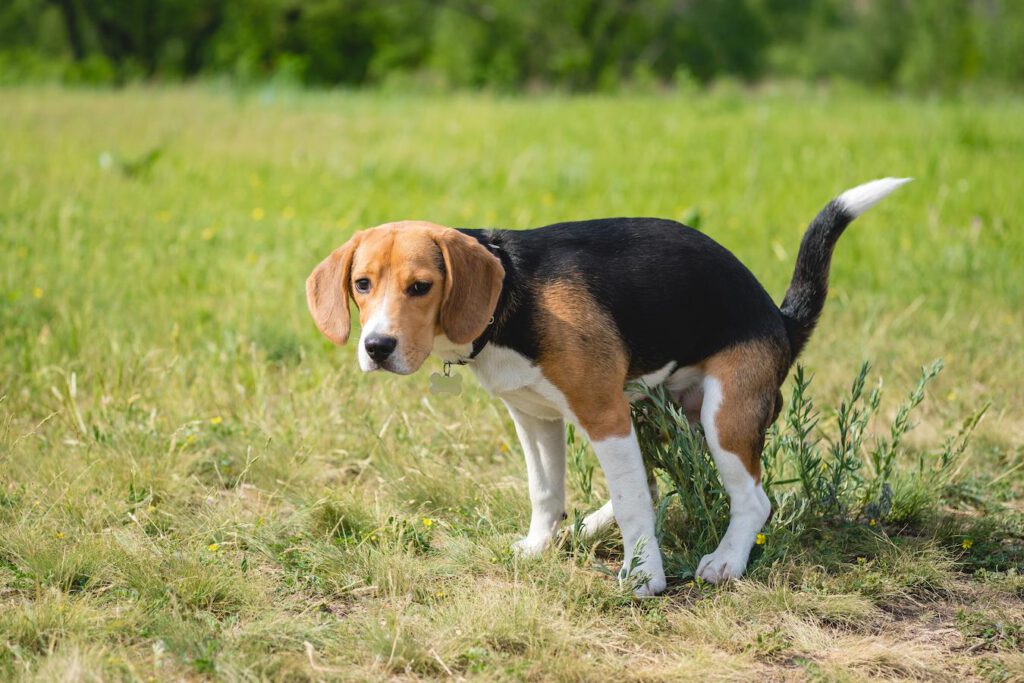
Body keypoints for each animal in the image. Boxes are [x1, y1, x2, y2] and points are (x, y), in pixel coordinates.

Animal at [305, 178, 913, 598]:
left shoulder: (602, 413)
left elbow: (632, 501)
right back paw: (591, 525)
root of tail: (781, 320)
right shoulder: (535, 417)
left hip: (722, 416)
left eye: (421, 287)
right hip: (656, 412)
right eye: (362, 284)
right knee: (657, 481)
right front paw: (539, 546)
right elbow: (545, 492)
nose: (377, 347)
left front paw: (645, 577)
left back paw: (726, 561)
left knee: (751, 499)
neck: (511, 295)